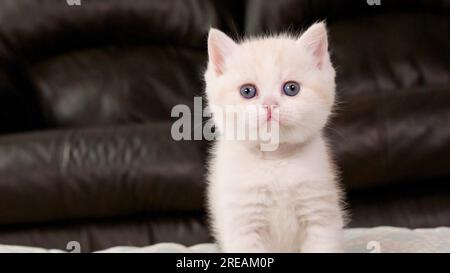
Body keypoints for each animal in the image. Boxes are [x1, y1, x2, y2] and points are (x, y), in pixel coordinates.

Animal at [204, 22, 344, 252]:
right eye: (248, 91)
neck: (275, 161)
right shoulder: (244, 223)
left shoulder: (319, 213)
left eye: (291, 88)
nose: (270, 104)